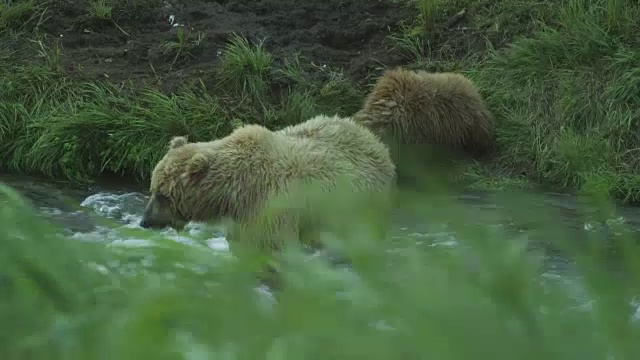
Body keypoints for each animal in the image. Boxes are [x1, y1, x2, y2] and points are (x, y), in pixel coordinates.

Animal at [139, 114, 396, 258]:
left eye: (163, 194)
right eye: (152, 188)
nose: (145, 221)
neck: (231, 191)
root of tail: (374, 140)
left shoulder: (266, 205)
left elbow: (268, 247)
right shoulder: (241, 216)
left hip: (360, 204)